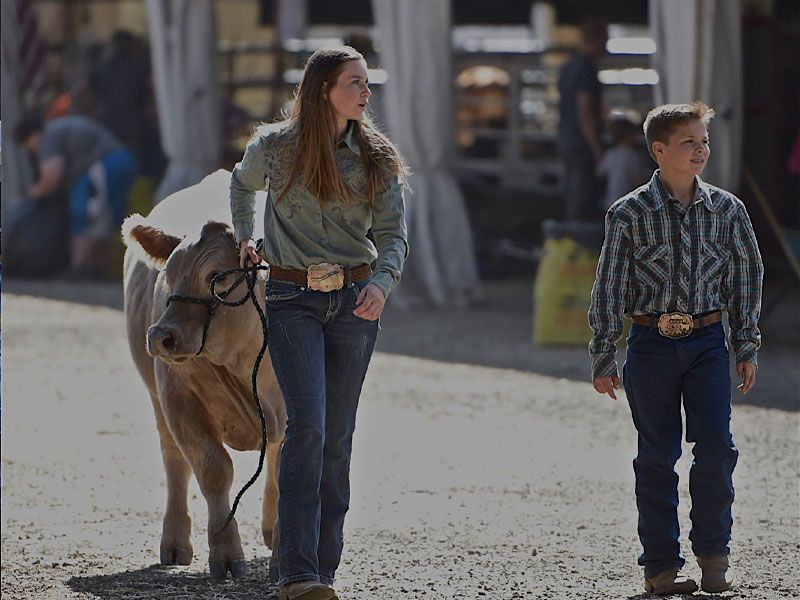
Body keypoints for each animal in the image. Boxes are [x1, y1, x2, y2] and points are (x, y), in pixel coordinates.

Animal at [120, 170, 286, 580]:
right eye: (168, 275)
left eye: (216, 277)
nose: (160, 335)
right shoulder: (178, 396)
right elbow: (212, 469)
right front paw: (225, 553)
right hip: (158, 399)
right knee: (174, 460)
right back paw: (175, 541)